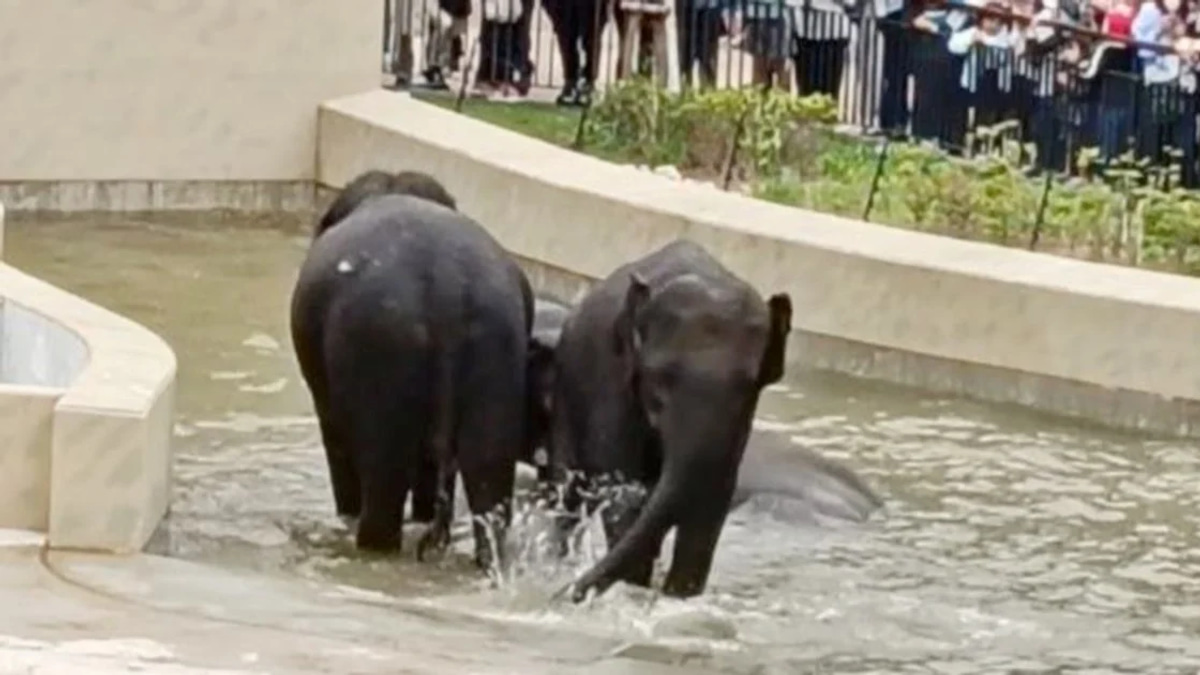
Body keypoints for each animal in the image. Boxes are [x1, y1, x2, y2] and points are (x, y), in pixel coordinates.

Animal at [545, 239, 792, 602]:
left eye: (749, 386)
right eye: (659, 378)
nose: (566, 594)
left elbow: (712, 496)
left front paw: (678, 596)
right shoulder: (609, 379)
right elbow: (623, 487)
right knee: (568, 494)